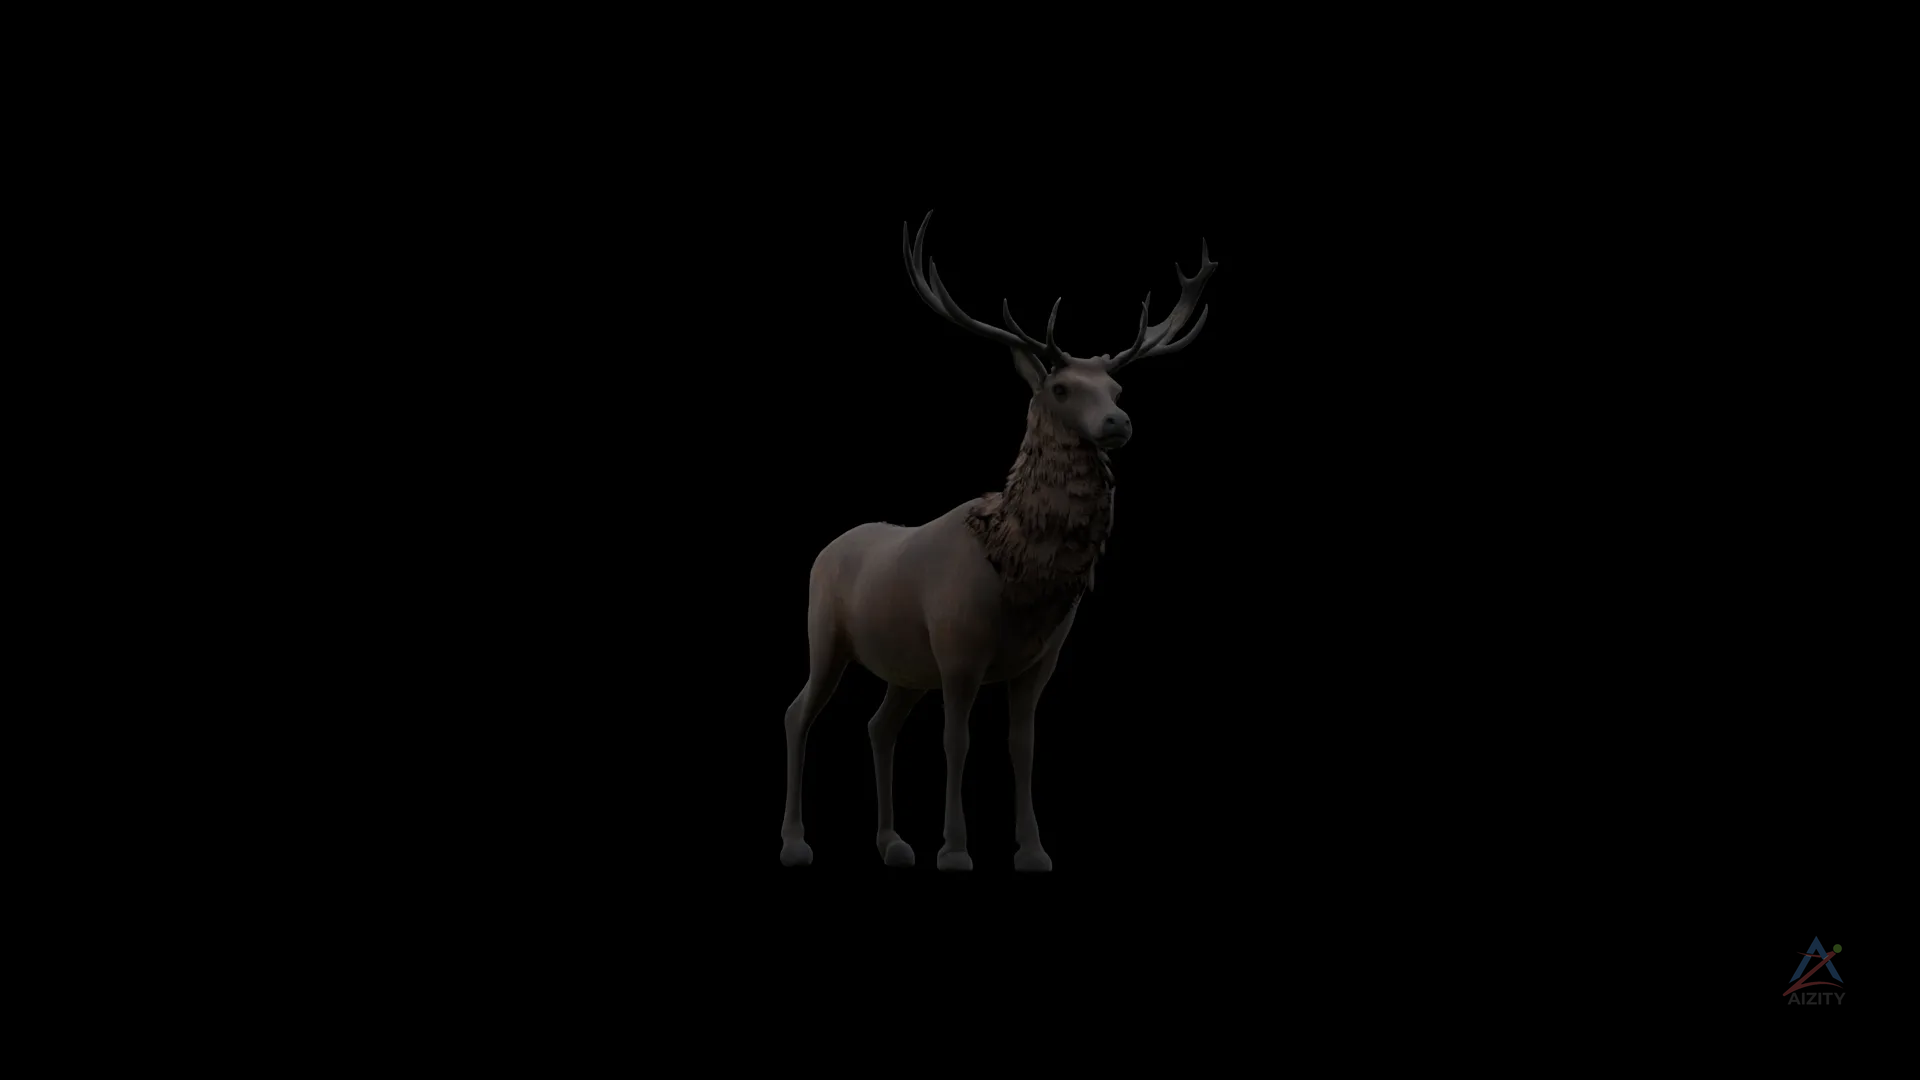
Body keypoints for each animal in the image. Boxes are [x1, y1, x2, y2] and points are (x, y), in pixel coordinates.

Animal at [779, 210, 1217, 871]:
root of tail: (825, 550)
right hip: (826, 635)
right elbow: (957, 741)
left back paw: (892, 843)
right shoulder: (958, 649)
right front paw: (956, 850)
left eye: (1116, 391)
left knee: (879, 726)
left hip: (905, 667)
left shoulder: (1040, 660)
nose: (1119, 423)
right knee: (798, 713)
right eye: (1060, 387)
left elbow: (1022, 745)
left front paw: (1032, 850)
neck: (1016, 571)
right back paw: (796, 842)